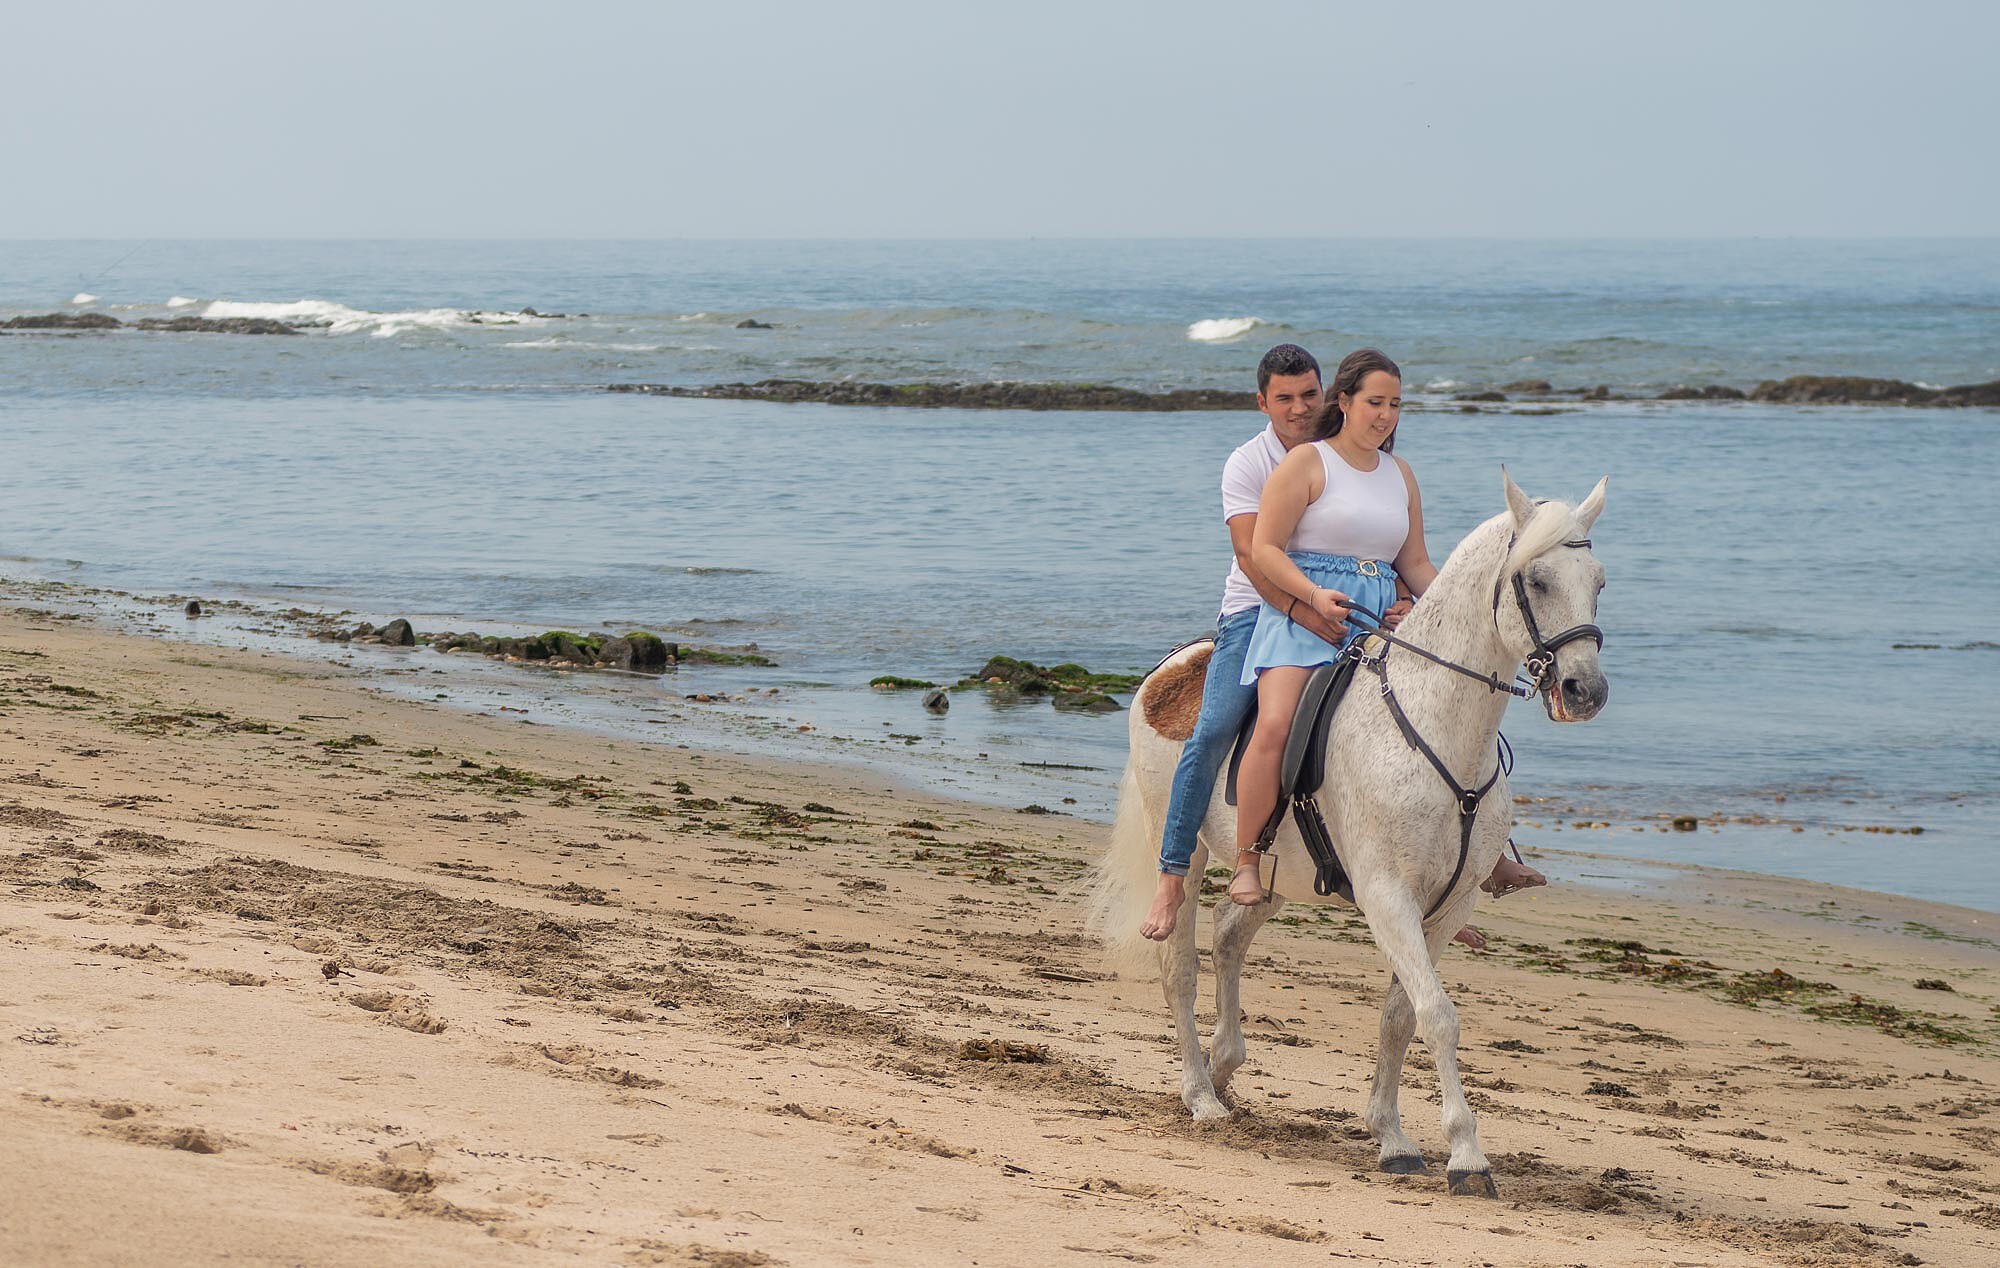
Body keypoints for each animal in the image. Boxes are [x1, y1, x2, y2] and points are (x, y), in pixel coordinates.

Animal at [1086, 470, 1608, 1198]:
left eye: (1598, 581)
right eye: (1535, 580)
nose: (1585, 690)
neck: (1433, 726)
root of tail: (1174, 665)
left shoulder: (1447, 907)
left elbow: (1400, 1018)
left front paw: (1393, 1139)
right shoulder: (1388, 897)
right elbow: (1437, 1015)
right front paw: (1467, 1157)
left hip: (1274, 874)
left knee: (1229, 934)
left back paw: (1223, 1063)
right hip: (1182, 856)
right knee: (1179, 969)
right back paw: (1200, 1095)